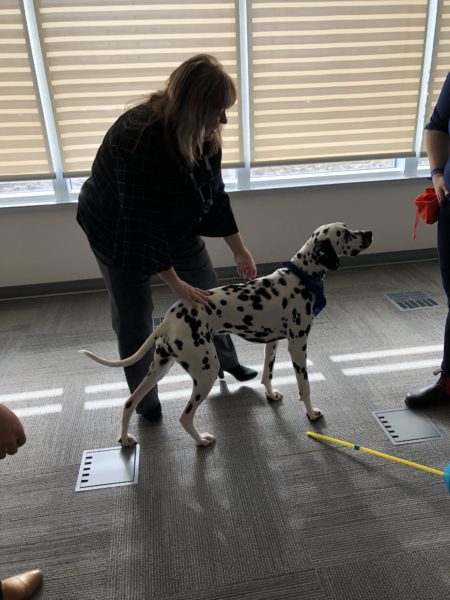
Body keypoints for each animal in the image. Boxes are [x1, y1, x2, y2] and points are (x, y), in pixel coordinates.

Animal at [80, 224, 372, 446]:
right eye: (345, 233)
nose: (369, 233)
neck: (301, 277)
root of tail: (169, 318)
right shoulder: (298, 345)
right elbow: (305, 386)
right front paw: (311, 414)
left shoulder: (273, 343)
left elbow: (267, 374)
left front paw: (271, 395)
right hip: (206, 371)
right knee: (184, 416)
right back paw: (201, 441)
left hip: (160, 368)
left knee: (129, 402)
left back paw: (125, 439)